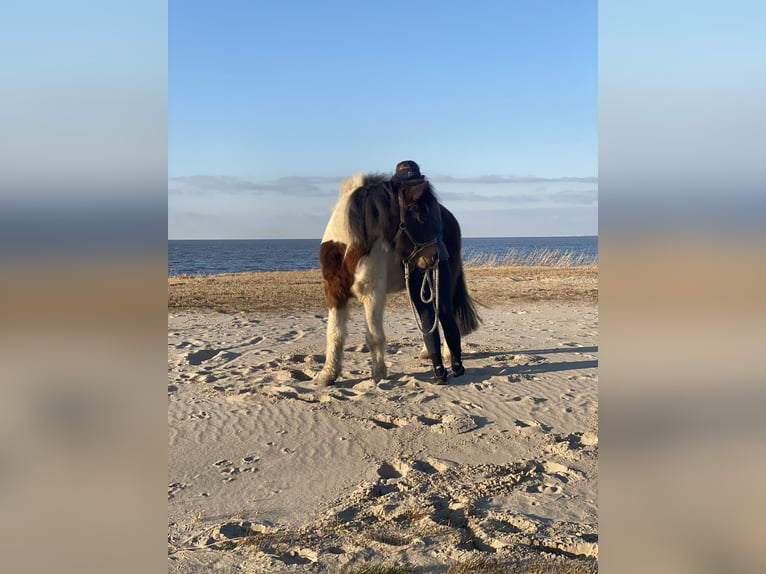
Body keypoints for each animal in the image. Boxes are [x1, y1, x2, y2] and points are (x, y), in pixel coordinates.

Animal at [316, 172, 476, 388]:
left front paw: (378, 373)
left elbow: (374, 336)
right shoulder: (334, 292)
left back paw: (448, 356)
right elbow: (334, 334)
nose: (434, 256)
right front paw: (328, 374)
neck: (346, 246)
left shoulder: (372, 294)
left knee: (445, 315)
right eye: (421, 216)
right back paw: (428, 353)